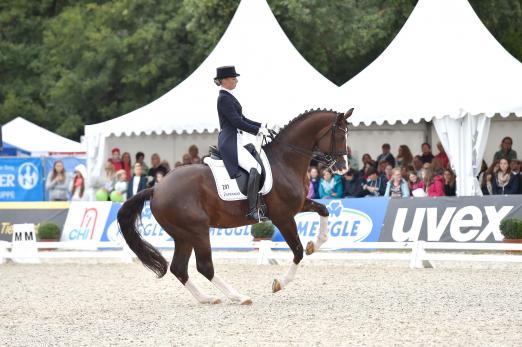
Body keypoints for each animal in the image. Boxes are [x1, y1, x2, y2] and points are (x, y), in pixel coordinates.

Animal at [116, 109, 352, 304]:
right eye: (340, 135)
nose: (343, 168)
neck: (285, 160)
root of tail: (156, 188)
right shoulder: (282, 216)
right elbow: (297, 251)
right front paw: (279, 284)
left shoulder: (299, 205)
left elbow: (323, 211)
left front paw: (316, 244)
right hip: (197, 230)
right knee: (204, 266)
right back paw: (238, 296)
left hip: (183, 235)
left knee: (179, 268)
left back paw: (207, 298)